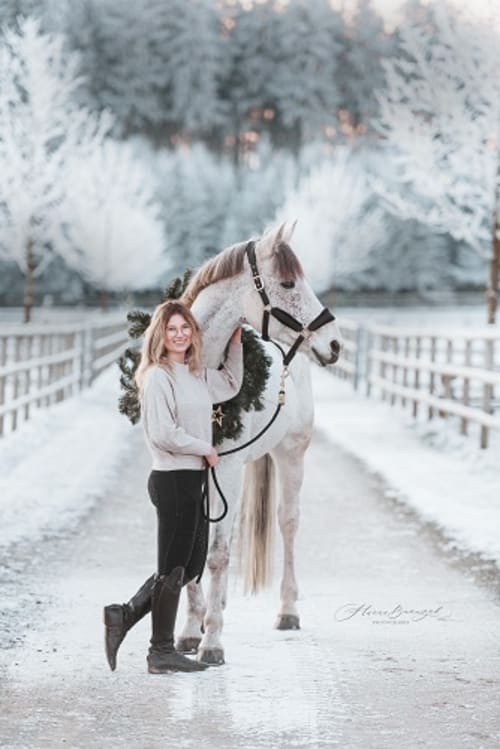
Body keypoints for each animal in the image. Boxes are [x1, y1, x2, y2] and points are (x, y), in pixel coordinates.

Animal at [176, 221, 342, 665]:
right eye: (287, 283)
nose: (334, 344)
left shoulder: (229, 469)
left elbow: (217, 555)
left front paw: (212, 643)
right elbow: (194, 546)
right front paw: (191, 630)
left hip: (291, 456)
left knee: (288, 524)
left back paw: (287, 611)